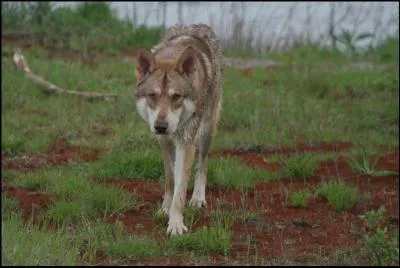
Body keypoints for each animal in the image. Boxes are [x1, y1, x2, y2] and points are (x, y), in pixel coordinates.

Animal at [134, 24, 222, 234]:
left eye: (176, 96)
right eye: (152, 95)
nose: (160, 126)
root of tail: (200, 25)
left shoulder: (186, 144)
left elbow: (181, 189)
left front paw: (175, 224)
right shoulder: (165, 142)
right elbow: (171, 179)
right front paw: (165, 209)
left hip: (206, 133)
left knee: (203, 165)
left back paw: (197, 198)